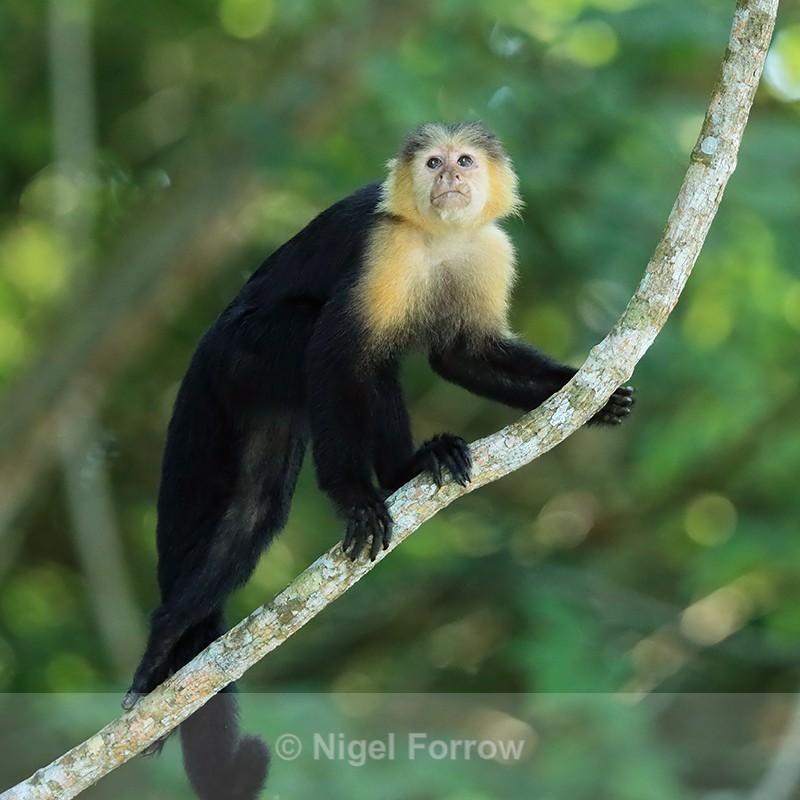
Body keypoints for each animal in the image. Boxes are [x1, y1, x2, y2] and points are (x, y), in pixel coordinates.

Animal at [122, 121, 634, 800]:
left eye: (465, 161)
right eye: (433, 163)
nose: (450, 179)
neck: (436, 235)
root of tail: (209, 340)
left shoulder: (489, 251)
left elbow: (461, 354)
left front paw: (591, 396)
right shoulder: (383, 248)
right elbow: (338, 353)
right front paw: (355, 497)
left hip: (255, 391)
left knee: (253, 510)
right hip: (244, 351)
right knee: (341, 351)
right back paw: (164, 639)